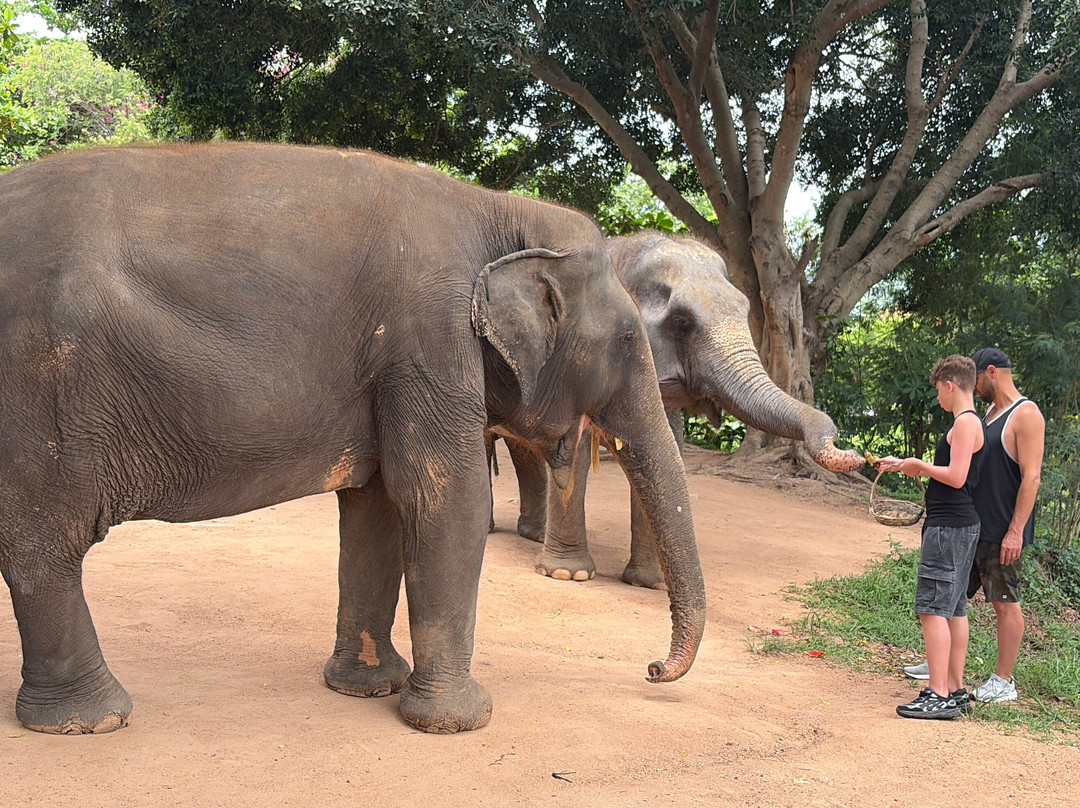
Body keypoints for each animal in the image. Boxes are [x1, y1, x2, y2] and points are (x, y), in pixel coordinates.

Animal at [0, 144, 705, 735]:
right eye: (627, 341)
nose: (651, 670)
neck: (502, 209)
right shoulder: (430, 338)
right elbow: (448, 501)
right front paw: (457, 722)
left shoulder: (397, 362)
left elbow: (379, 506)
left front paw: (367, 688)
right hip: (34, 395)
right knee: (44, 546)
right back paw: (91, 721)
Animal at [496, 232, 864, 589]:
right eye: (681, 320)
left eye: (746, 310)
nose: (855, 453)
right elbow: (579, 452)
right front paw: (566, 575)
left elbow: (661, 448)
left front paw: (649, 583)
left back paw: (533, 535)